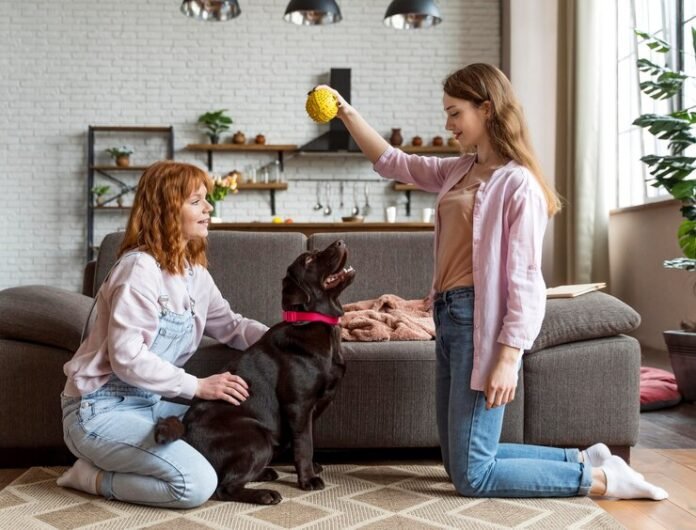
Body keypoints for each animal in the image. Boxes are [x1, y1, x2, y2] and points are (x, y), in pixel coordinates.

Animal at [156, 239, 356, 504]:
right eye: (309, 260)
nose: (340, 241)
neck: (311, 322)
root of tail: (187, 434)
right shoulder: (299, 405)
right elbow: (305, 443)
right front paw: (308, 479)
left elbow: (306, 440)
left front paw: (311, 468)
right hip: (257, 437)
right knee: (225, 487)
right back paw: (265, 494)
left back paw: (266, 473)